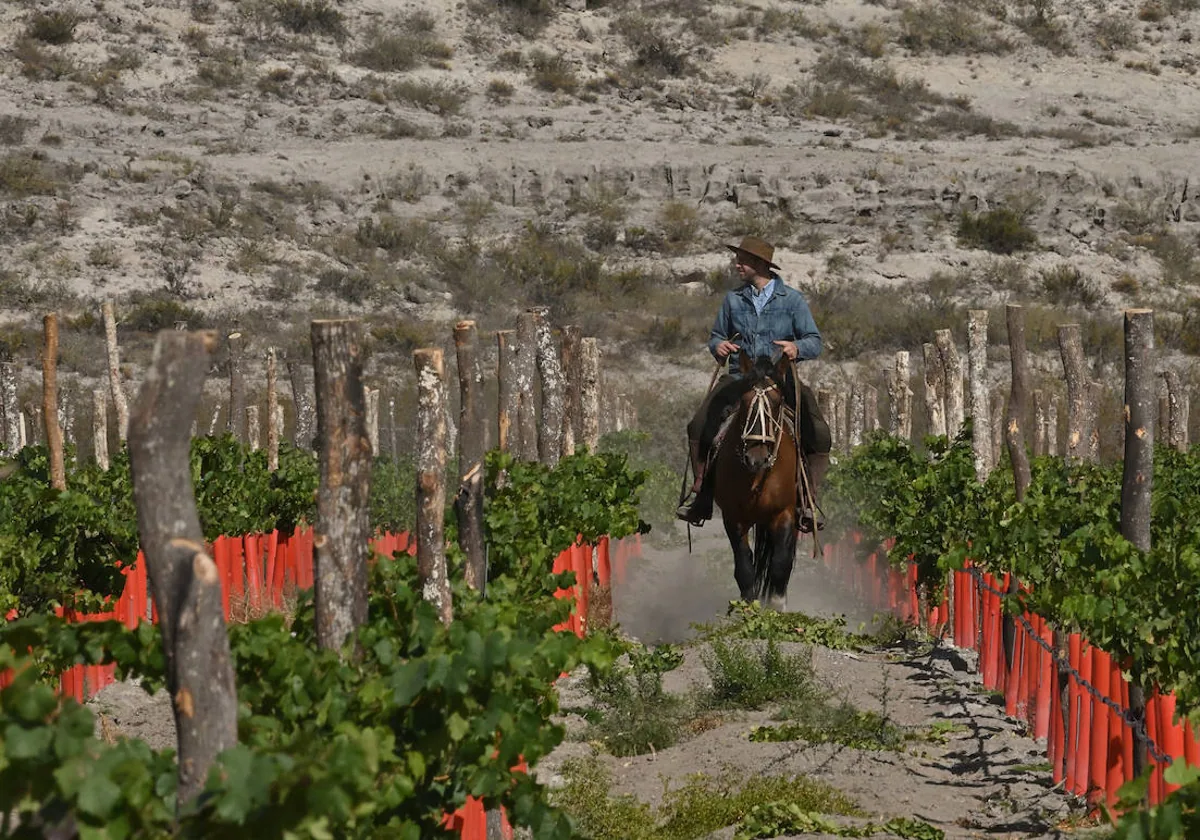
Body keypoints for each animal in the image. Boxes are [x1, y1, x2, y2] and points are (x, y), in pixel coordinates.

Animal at [715, 350, 801, 607]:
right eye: (743, 402)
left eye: (777, 402)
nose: (757, 458)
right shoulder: (733, 517)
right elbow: (744, 569)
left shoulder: (784, 513)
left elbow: (780, 566)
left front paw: (776, 607)